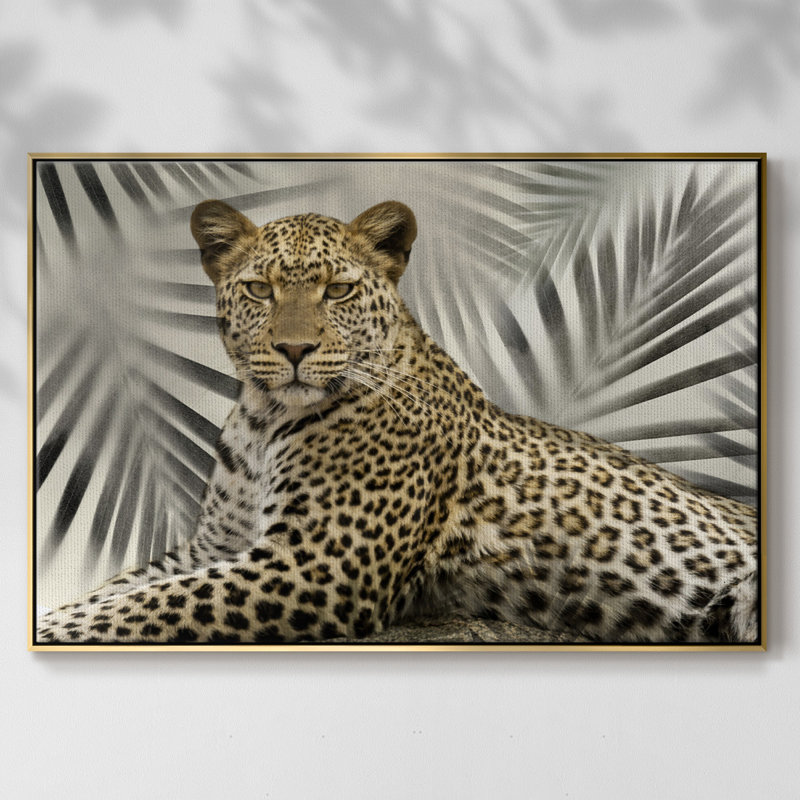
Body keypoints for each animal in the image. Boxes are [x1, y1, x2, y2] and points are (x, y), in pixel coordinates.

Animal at [35, 199, 760, 646]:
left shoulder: (317, 564)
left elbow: (149, 606)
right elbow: (121, 590)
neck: (264, 419)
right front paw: (60, 611)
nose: (294, 350)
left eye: (338, 290)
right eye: (260, 289)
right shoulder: (215, 545)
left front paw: (54, 631)